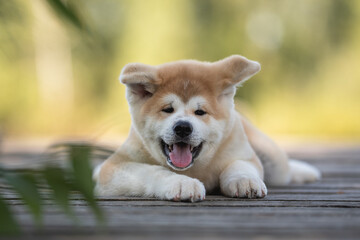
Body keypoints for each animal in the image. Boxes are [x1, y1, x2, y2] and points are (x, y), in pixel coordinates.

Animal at [93, 55, 320, 202]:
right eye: (167, 109)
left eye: (200, 112)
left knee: (284, 169)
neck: (195, 168)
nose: (183, 127)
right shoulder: (115, 167)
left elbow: (239, 165)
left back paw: (304, 170)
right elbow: (153, 171)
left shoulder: (243, 154)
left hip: (271, 157)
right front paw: (181, 183)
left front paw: (245, 180)